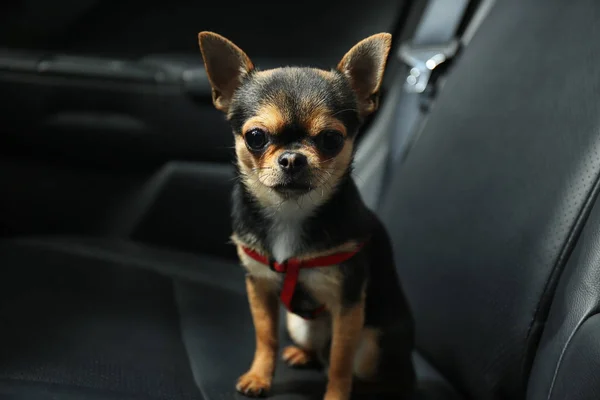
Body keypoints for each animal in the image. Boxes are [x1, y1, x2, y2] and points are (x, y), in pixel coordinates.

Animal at [199, 32, 414, 400]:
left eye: (331, 139)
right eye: (255, 137)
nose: (292, 158)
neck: (289, 212)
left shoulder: (348, 304)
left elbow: (341, 360)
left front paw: (337, 395)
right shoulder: (260, 287)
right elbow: (266, 337)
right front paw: (259, 377)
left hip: (374, 345)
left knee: (366, 369)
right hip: (298, 323)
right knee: (318, 348)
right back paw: (303, 354)